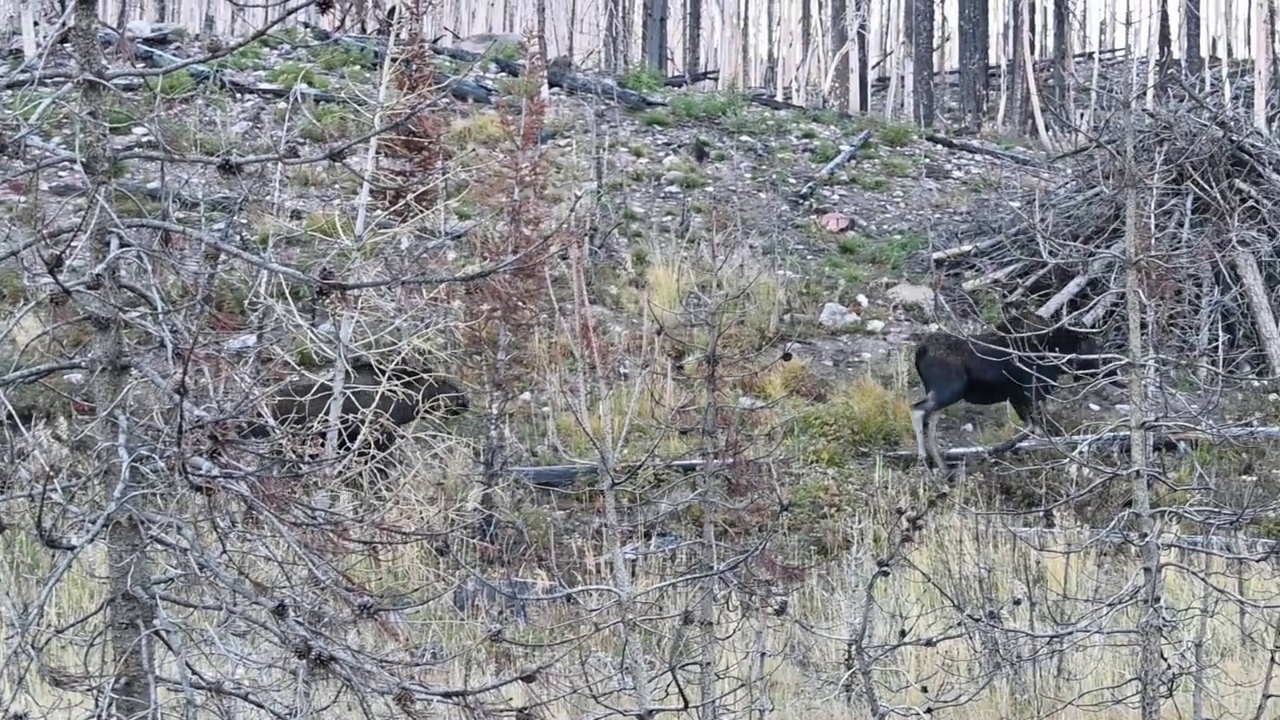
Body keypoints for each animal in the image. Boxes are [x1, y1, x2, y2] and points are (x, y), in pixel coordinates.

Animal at [911, 312, 1111, 468]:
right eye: (1091, 343)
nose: (1101, 367)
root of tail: (919, 351)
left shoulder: (1016, 396)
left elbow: (1031, 427)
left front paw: (996, 449)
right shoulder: (1033, 392)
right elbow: (1037, 428)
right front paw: (997, 449)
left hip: (941, 393)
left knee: (931, 421)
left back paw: (941, 465)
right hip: (949, 391)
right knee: (917, 410)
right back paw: (923, 459)